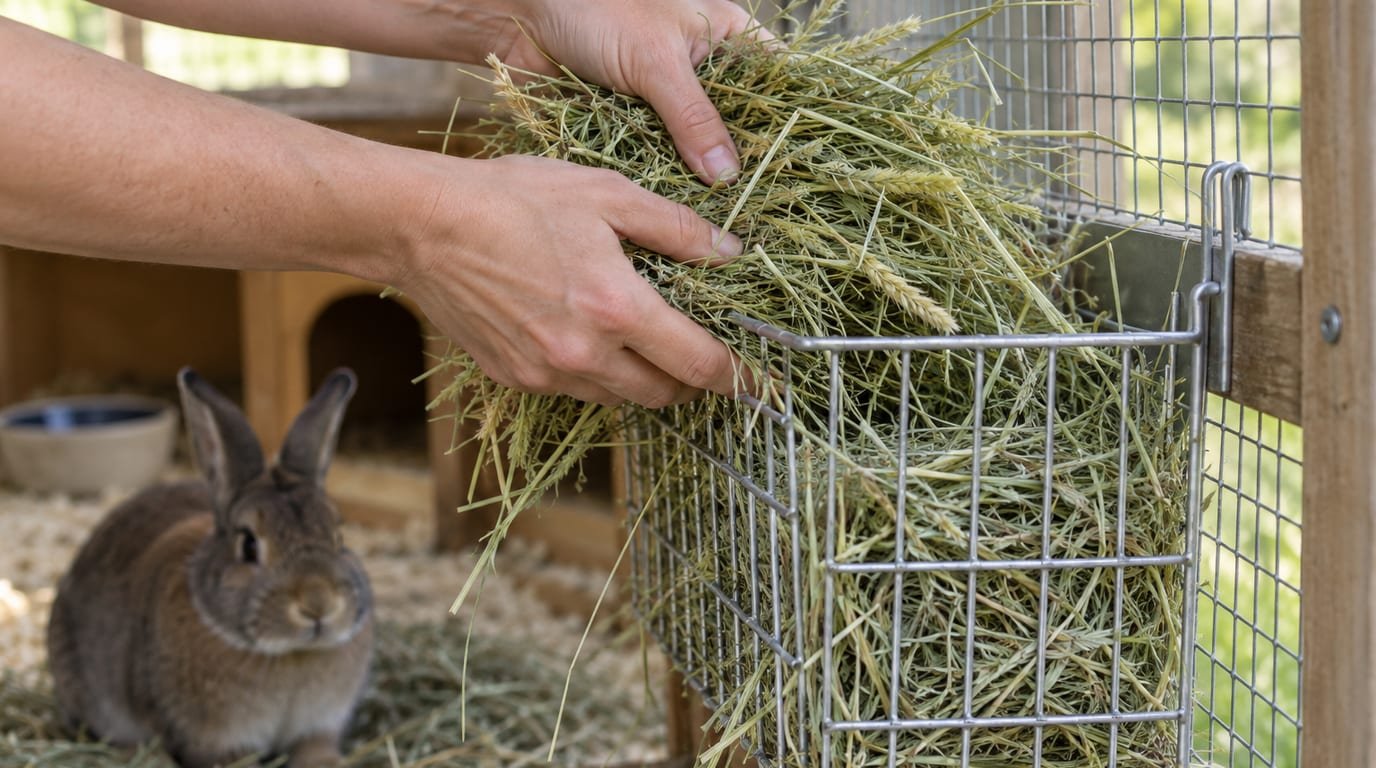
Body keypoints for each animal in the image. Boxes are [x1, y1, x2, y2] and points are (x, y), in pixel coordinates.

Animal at [46, 367, 374, 768]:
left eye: (339, 536)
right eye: (248, 545)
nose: (317, 603)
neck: (290, 653)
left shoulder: (319, 726)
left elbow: (316, 751)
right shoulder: (218, 742)